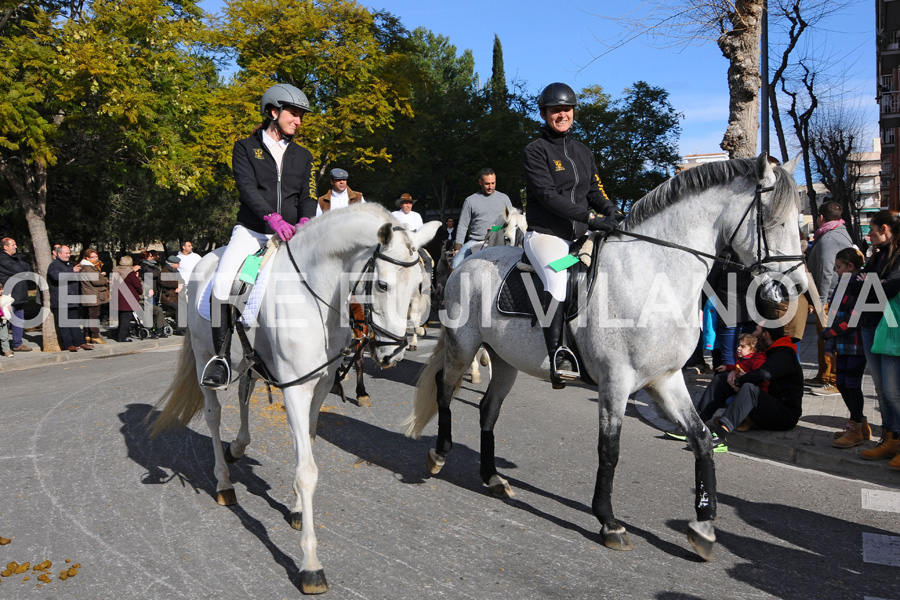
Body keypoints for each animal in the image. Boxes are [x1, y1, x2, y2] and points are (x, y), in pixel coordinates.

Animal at [151, 205, 440, 596]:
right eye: (382, 284)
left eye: (419, 286)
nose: (392, 353)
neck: (314, 294)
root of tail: (205, 259)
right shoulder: (295, 389)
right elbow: (307, 472)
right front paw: (311, 565)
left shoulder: (317, 388)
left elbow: (308, 449)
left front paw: (297, 509)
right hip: (202, 356)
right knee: (213, 414)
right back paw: (224, 482)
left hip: (250, 363)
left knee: (243, 394)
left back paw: (238, 447)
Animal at [404, 155, 804, 564]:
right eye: (775, 220)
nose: (795, 290)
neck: (653, 275)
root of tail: (465, 264)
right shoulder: (617, 381)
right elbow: (609, 450)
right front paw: (609, 522)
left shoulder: (666, 379)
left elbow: (702, 439)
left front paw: (704, 528)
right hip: (464, 346)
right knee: (444, 391)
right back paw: (439, 455)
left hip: (505, 360)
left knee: (488, 409)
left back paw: (494, 478)